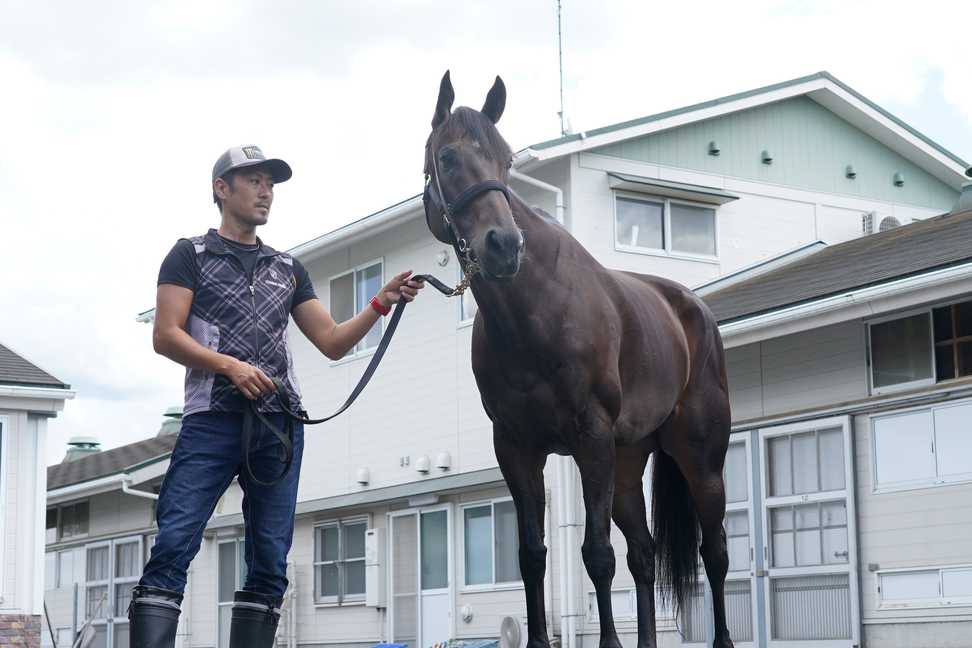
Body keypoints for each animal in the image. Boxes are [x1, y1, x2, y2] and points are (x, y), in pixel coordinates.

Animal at [422, 71, 732, 648]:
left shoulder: (590, 439)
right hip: (628, 461)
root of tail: (694, 310)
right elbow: (532, 556)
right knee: (644, 554)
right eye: (448, 157)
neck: (536, 315)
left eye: (505, 160)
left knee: (716, 552)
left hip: (700, 460)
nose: (503, 245)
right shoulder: (516, 448)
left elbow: (596, 554)